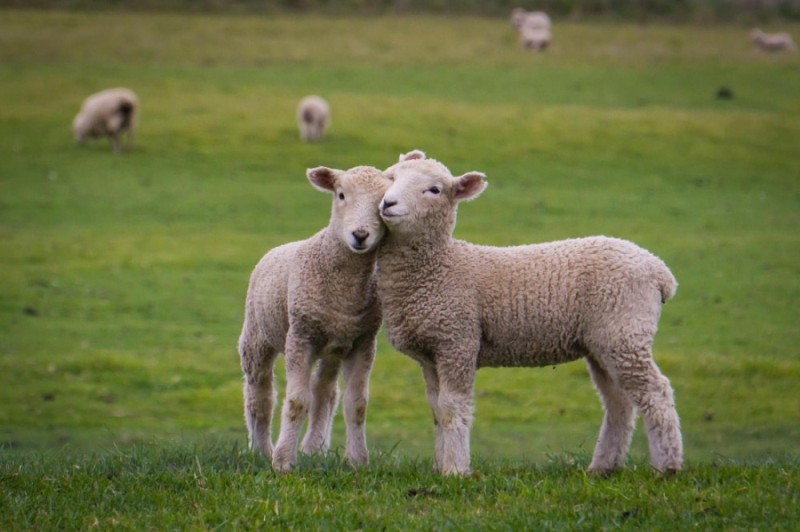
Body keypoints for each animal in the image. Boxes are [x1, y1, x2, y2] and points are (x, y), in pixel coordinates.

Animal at [239, 164, 392, 472]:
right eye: (341, 194)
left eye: (383, 203)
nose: (360, 235)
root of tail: (279, 247)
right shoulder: (301, 336)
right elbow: (297, 401)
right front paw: (283, 461)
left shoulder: (363, 341)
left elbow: (357, 404)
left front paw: (357, 460)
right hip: (257, 337)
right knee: (260, 393)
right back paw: (260, 449)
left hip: (333, 348)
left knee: (325, 392)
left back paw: (314, 448)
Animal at [378, 151, 684, 478]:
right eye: (391, 177)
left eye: (434, 190)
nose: (388, 203)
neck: (441, 266)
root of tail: (659, 270)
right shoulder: (431, 353)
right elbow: (436, 409)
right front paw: (440, 466)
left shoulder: (457, 341)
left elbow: (452, 408)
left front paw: (456, 470)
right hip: (604, 342)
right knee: (619, 403)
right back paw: (603, 467)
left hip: (624, 330)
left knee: (656, 393)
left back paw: (667, 466)